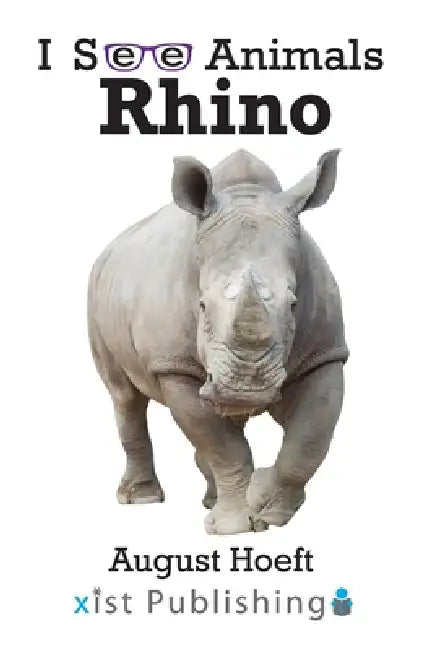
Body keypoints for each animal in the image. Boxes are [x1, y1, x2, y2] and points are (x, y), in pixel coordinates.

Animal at [87, 148, 349, 535]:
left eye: (294, 304)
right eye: (201, 305)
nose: (244, 388)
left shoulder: (325, 355)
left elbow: (308, 443)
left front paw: (268, 511)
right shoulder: (174, 366)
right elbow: (224, 447)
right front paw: (231, 528)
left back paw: (212, 499)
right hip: (96, 291)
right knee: (124, 396)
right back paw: (143, 500)